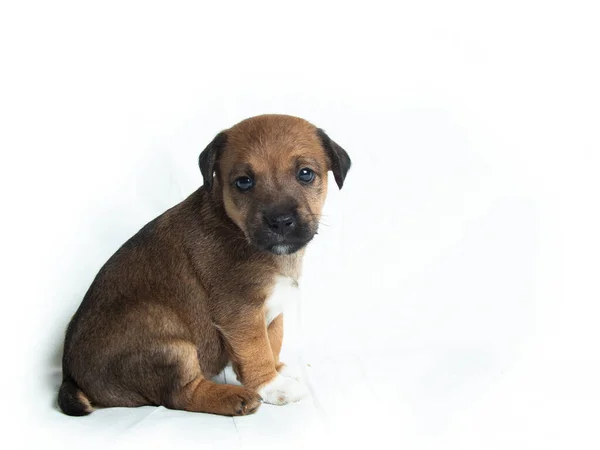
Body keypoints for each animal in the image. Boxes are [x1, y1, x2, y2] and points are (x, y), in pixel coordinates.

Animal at [56, 114, 352, 416]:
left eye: (305, 174)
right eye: (243, 182)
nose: (280, 222)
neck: (237, 229)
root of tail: (70, 376)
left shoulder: (273, 308)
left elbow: (274, 340)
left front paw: (278, 369)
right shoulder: (241, 311)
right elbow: (257, 349)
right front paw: (271, 385)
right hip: (171, 344)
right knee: (180, 395)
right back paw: (234, 398)